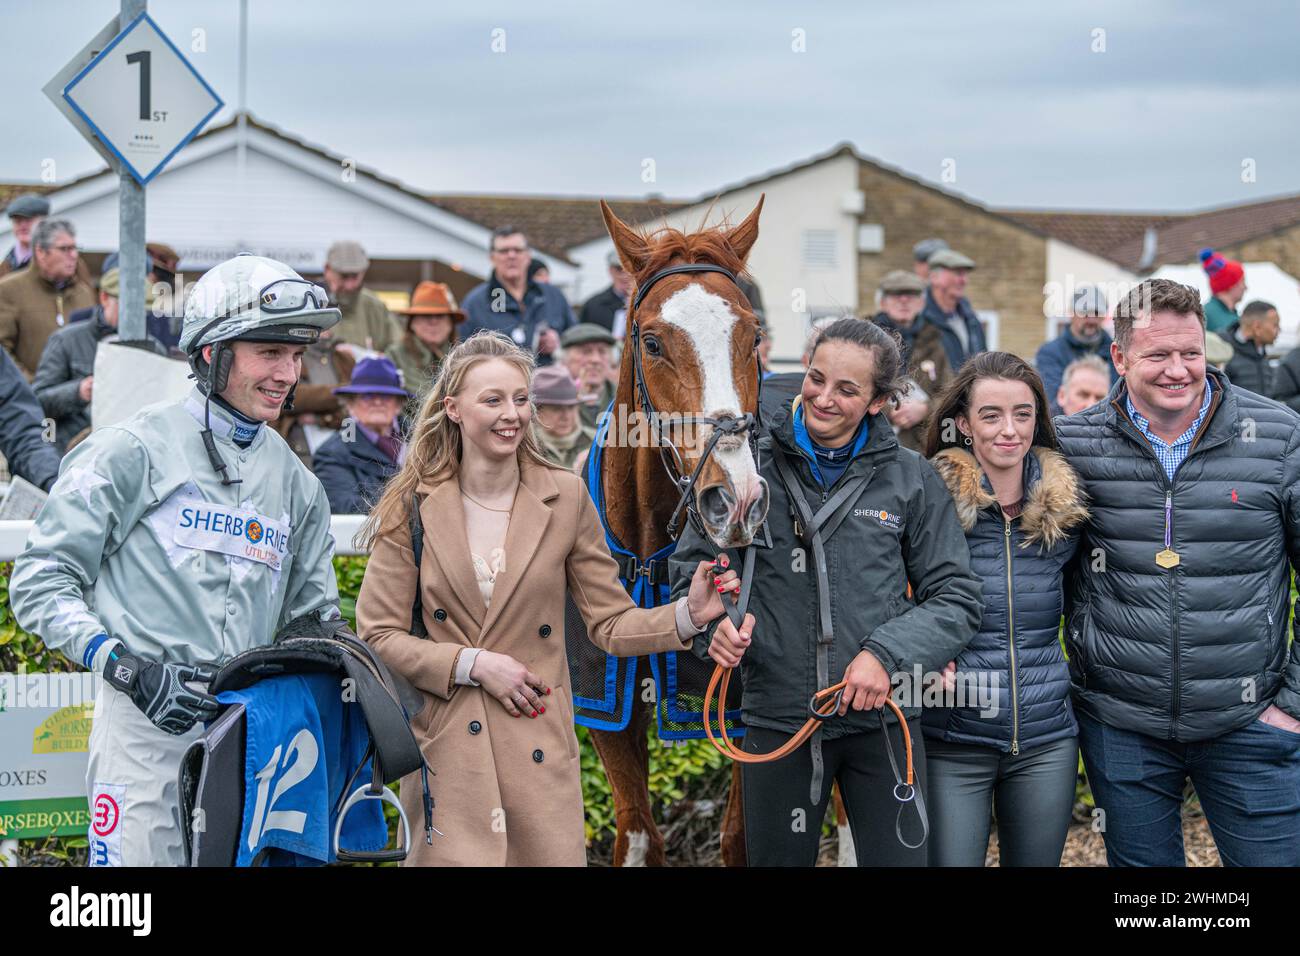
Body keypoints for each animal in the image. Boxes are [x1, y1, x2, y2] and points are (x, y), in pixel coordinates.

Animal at [590, 197, 769, 863]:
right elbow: (638, 832)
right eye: (652, 341)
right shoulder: (609, 711)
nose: (736, 498)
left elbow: (741, 836)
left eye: (753, 334)